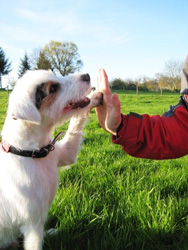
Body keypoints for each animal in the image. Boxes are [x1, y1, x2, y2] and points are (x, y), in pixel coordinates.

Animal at [0, 69, 102, 249]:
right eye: (53, 89)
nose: (86, 75)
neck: (32, 152)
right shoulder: (33, 223)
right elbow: (34, 244)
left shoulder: (65, 154)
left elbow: (75, 125)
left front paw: (94, 97)